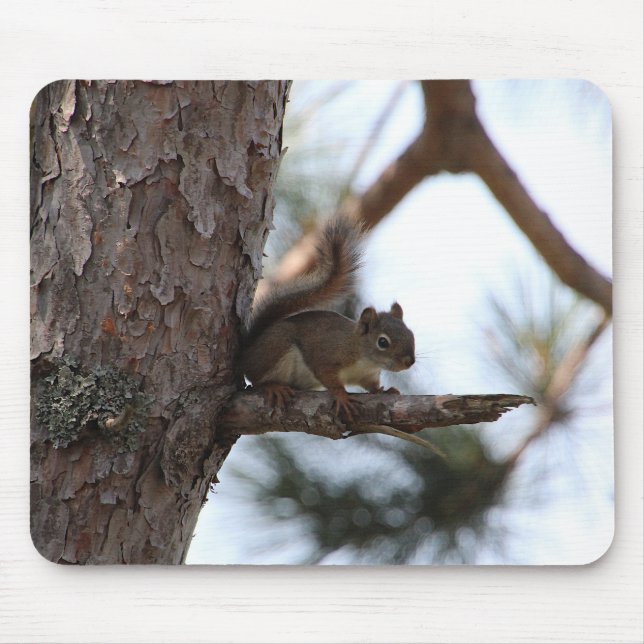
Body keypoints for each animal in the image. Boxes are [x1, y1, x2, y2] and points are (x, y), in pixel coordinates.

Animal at [240, 217, 416, 422]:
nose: (409, 362)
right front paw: (342, 396)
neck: (363, 357)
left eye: (411, 335)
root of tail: (247, 352)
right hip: (276, 347)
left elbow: (372, 386)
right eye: (383, 342)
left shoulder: (368, 375)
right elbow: (328, 377)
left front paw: (383, 391)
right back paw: (273, 387)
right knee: (257, 379)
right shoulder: (327, 355)